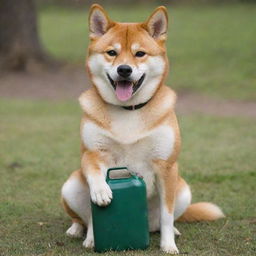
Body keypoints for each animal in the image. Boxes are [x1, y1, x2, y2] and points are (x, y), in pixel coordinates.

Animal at [61, 4, 225, 254]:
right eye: (112, 52)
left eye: (140, 54)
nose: (124, 70)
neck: (128, 109)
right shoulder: (92, 154)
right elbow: (95, 173)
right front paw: (100, 191)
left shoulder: (166, 167)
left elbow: (167, 215)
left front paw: (168, 245)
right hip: (69, 186)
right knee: (85, 218)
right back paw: (84, 234)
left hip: (183, 190)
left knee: (165, 220)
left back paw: (172, 231)